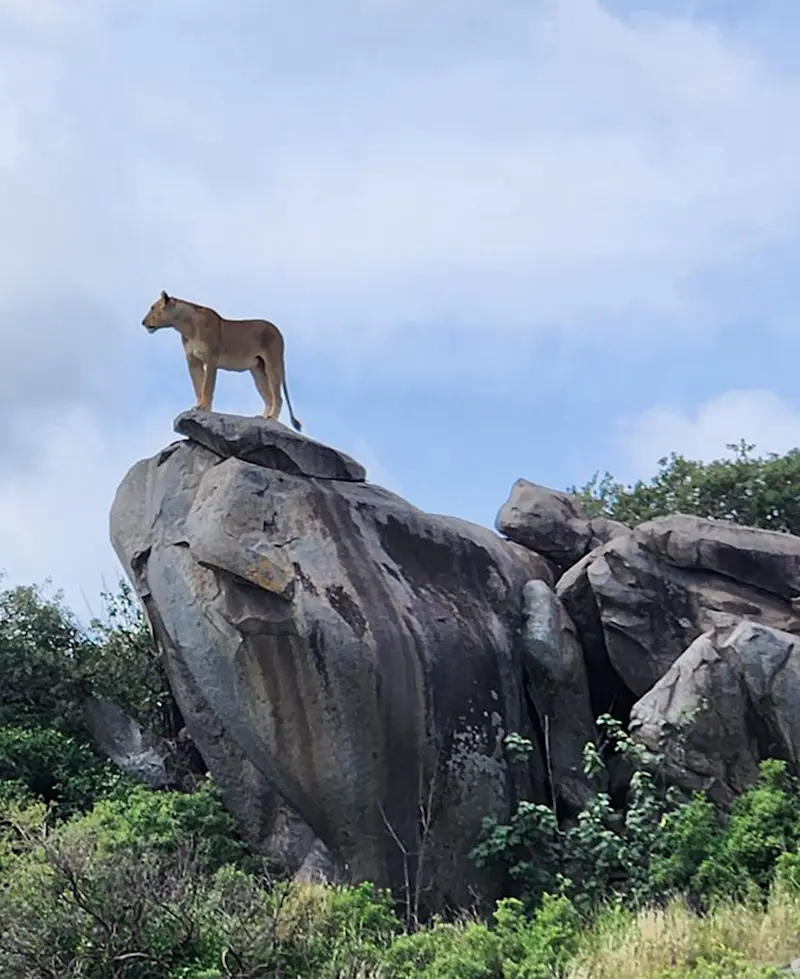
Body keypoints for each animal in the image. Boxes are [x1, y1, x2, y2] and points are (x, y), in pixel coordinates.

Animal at [141, 290, 302, 432]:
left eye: (152, 308)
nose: (143, 322)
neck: (185, 327)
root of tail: (278, 330)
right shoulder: (193, 362)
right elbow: (198, 386)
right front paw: (198, 406)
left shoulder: (211, 360)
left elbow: (207, 386)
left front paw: (203, 407)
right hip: (258, 371)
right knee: (269, 396)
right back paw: (262, 418)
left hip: (273, 363)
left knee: (278, 396)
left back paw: (271, 418)